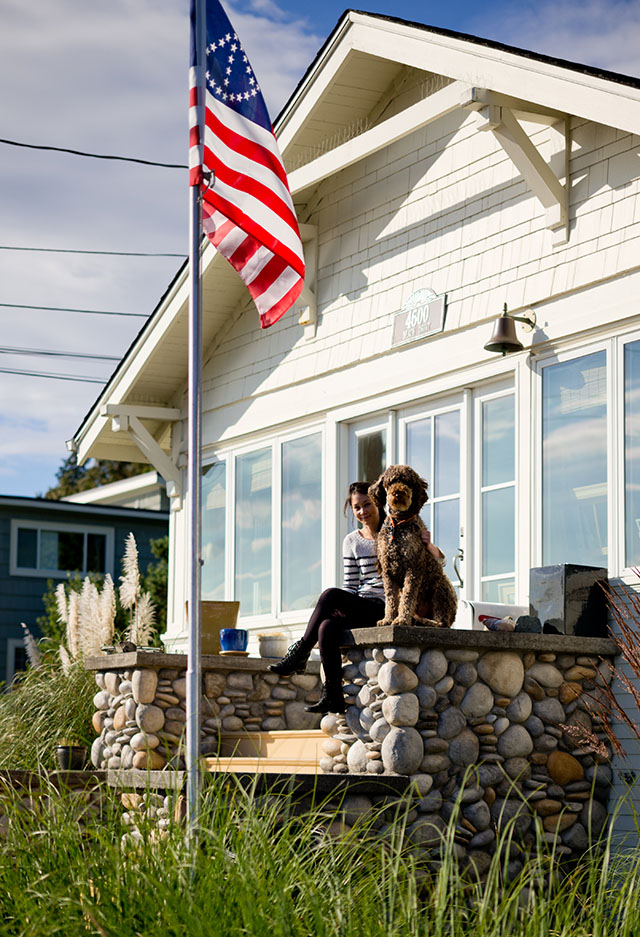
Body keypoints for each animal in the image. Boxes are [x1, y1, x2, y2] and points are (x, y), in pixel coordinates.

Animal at [368, 462, 458, 628]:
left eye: (408, 482)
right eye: (391, 482)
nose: (398, 493)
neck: (398, 524)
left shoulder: (413, 567)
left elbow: (407, 597)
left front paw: (402, 619)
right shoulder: (388, 571)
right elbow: (391, 599)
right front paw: (388, 619)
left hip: (441, 589)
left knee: (441, 622)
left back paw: (424, 621)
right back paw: (416, 619)